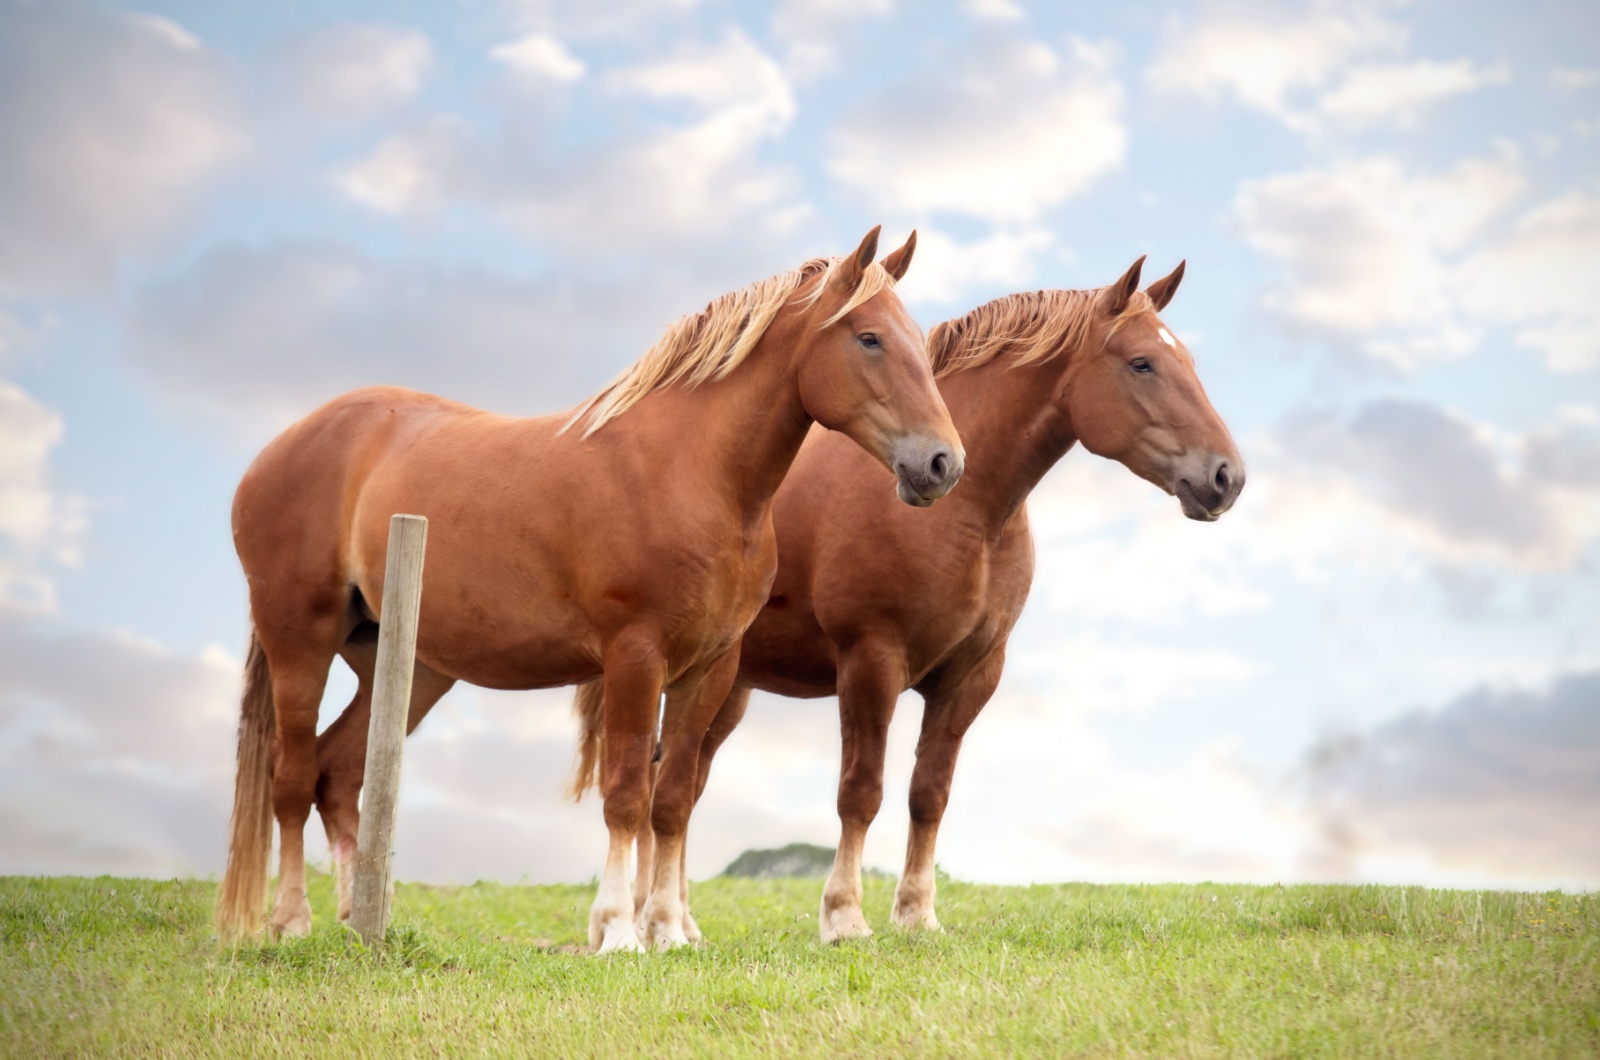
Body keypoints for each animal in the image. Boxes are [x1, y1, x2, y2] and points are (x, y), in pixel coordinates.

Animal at [212, 225, 960, 954]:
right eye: (869, 337)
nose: (943, 463)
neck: (691, 472)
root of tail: (275, 453)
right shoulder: (635, 658)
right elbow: (626, 794)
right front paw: (619, 930)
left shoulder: (709, 671)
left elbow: (672, 800)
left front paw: (668, 931)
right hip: (300, 642)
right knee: (291, 779)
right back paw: (291, 922)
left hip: (403, 666)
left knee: (337, 774)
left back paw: (351, 920)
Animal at [572, 257, 1235, 947]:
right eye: (1142, 363)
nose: (1226, 477)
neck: (969, 517)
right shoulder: (872, 662)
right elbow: (860, 792)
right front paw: (844, 917)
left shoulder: (971, 676)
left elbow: (929, 795)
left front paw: (918, 913)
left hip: (724, 688)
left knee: (683, 783)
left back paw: (675, 922)